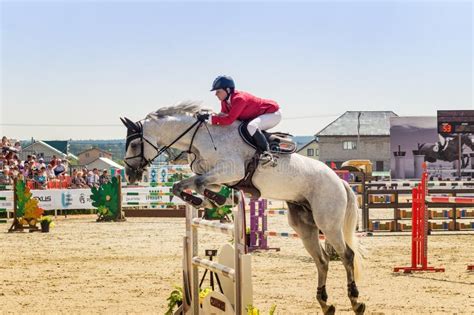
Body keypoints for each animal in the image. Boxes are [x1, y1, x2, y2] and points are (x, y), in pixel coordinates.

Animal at [120, 102, 364, 314]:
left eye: (134, 144)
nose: (130, 174)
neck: (201, 137)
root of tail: (339, 181)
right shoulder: (215, 176)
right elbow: (182, 185)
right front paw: (202, 201)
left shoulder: (231, 171)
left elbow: (199, 183)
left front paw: (217, 200)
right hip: (304, 225)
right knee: (322, 260)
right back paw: (325, 304)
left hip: (328, 223)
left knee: (346, 255)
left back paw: (355, 301)